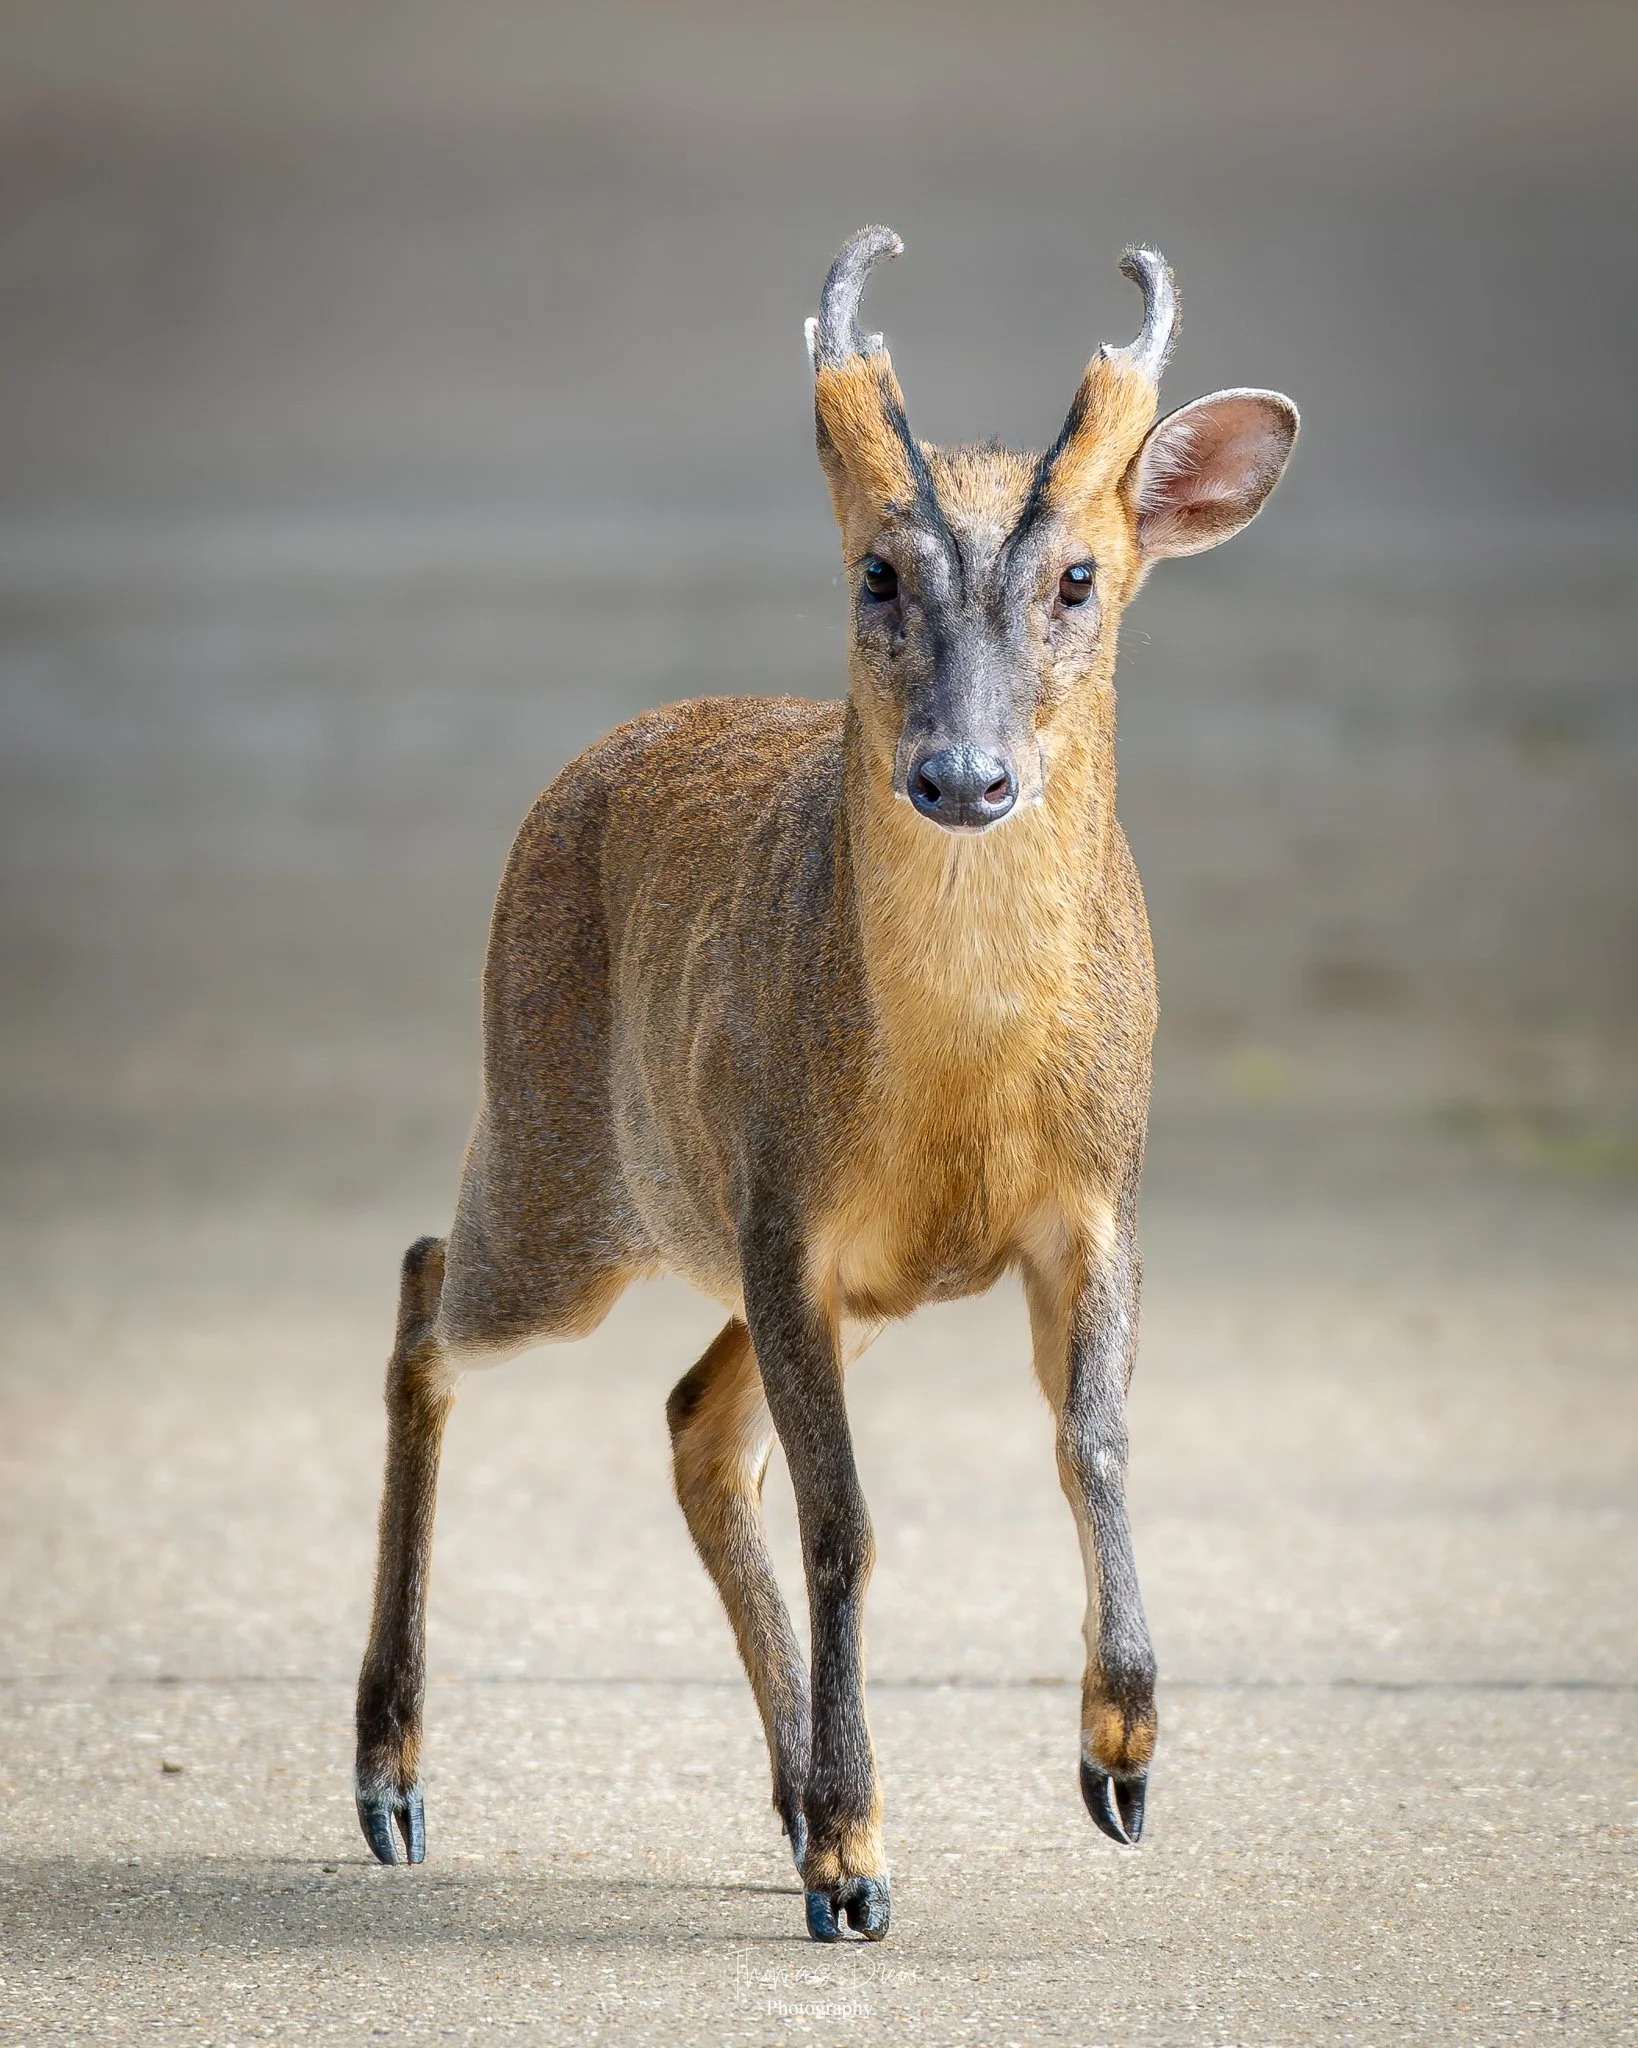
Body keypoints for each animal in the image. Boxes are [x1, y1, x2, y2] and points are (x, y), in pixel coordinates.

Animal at [353, 224, 1297, 1942]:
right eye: (876, 570)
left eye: (1078, 577)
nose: (962, 777)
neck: (961, 1094)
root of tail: (580, 767)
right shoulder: (790, 1214)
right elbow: (847, 1521)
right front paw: (860, 1856)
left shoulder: (1095, 1205)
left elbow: (1094, 1443)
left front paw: (1119, 1757)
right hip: (564, 1165)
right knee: (427, 1293)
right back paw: (393, 1782)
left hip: (729, 1246)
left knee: (685, 1420)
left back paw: (780, 1798)